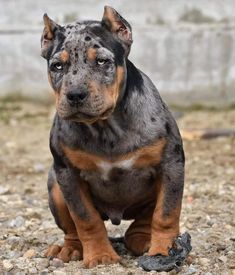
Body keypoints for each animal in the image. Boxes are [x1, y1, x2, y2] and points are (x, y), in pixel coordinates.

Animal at [40, 5, 185, 270]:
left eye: (102, 61)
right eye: (57, 66)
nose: (75, 95)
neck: (106, 126)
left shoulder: (171, 164)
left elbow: (166, 213)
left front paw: (163, 251)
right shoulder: (67, 173)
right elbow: (85, 219)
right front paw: (99, 256)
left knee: (142, 223)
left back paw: (146, 242)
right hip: (55, 184)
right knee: (72, 229)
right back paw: (69, 249)